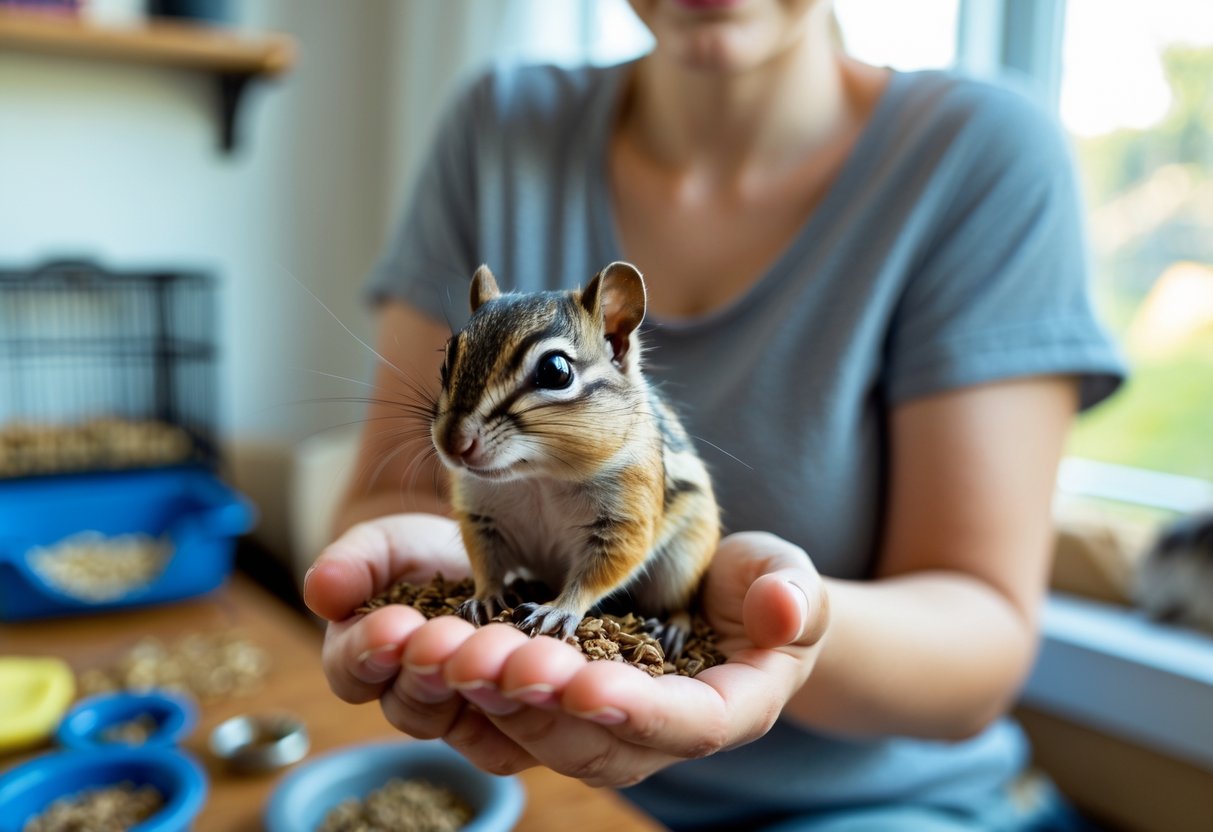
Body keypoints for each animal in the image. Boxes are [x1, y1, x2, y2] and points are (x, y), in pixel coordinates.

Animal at [430, 261, 720, 656]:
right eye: (446, 361)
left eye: (555, 370)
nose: (452, 442)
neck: (539, 476)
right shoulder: (480, 516)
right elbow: (486, 564)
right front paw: (486, 596)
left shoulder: (624, 521)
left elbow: (597, 574)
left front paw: (557, 610)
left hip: (682, 564)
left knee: (682, 604)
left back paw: (672, 628)